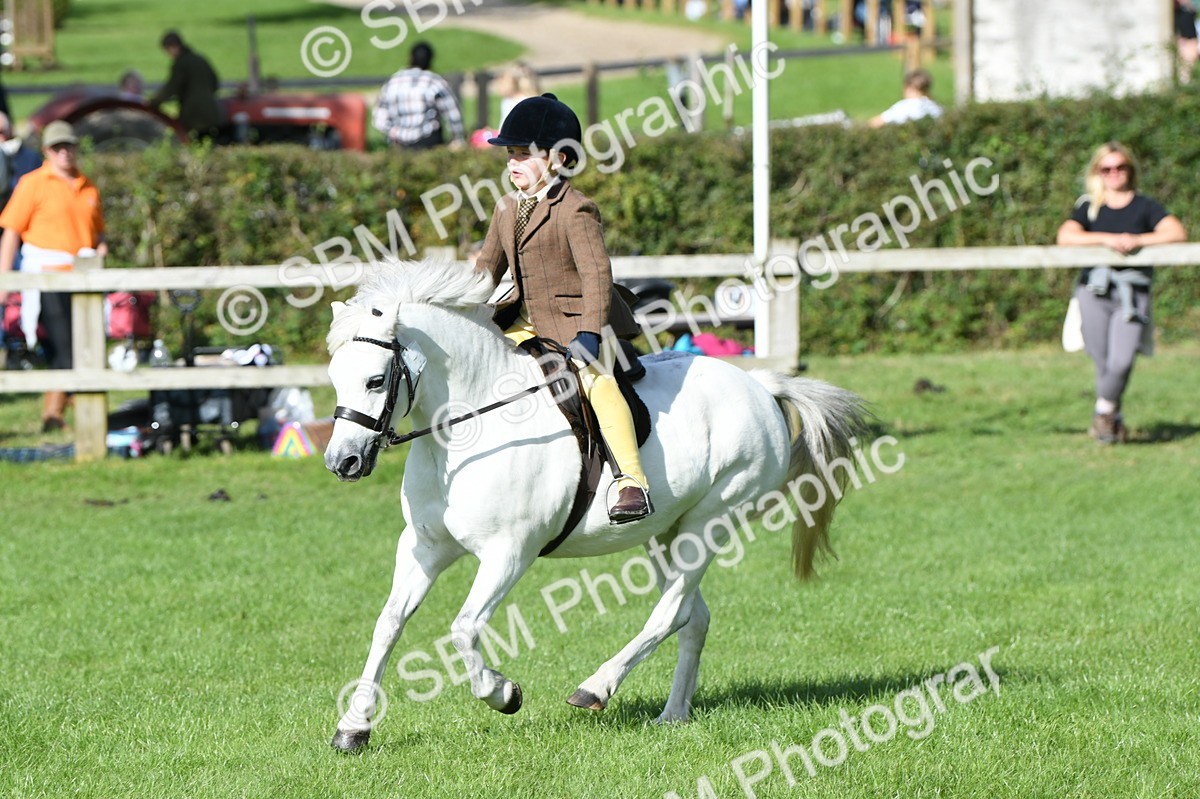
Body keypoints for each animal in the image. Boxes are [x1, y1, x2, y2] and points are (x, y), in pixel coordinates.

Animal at [323, 260, 870, 752]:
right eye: (334, 378)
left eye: (375, 381)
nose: (342, 461)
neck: (465, 433)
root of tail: (761, 386)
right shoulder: (423, 547)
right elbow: (388, 624)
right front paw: (354, 728)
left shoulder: (509, 553)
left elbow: (463, 629)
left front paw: (503, 694)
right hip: (664, 533)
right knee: (693, 617)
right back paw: (673, 714)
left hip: (712, 521)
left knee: (669, 612)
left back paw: (595, 687)